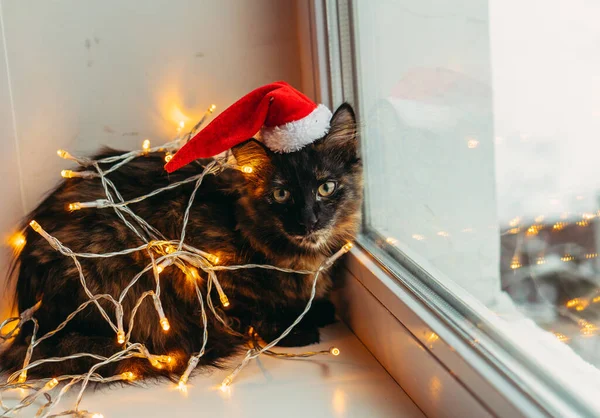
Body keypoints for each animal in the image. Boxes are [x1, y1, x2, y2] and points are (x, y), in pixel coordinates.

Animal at [0, 103, 360, 380]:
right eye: (281, 194)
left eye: (325, 187)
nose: (308, 221)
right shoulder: (214, 273)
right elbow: (255, 310)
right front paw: (296, 329)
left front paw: (317, 309)